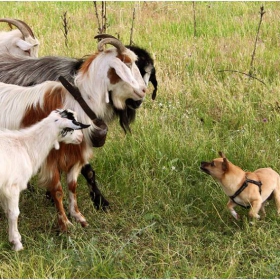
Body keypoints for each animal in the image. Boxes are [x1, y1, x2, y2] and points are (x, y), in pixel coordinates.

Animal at [0, 37, 147, 232]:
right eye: (128, 63)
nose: (143, 91)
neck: (80, 102)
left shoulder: (75, 154)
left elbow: (73, 185)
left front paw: (78, 217)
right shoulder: (51, 158)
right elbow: (57, 190)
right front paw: (64, 225)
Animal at [0, 108, 89, 250]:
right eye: (71, 128)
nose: (80, 138)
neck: (25, 146)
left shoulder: (3, 190)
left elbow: (7, 212)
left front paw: (16, 237)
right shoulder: (12, 186)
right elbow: (13, 213)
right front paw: (16, 243)